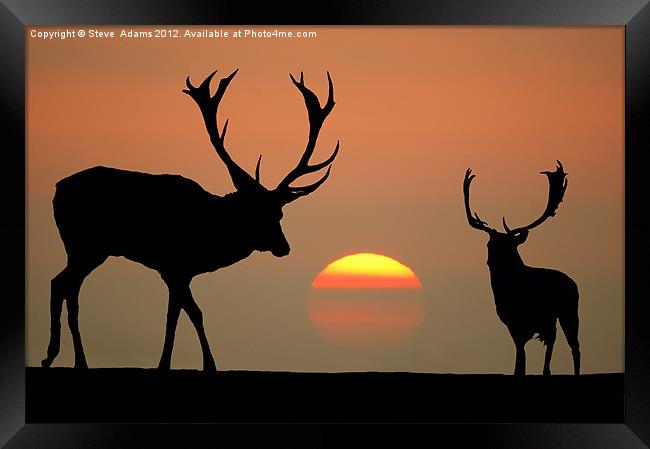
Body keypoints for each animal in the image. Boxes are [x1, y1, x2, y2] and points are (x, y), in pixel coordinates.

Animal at [41, 69, 340, 372]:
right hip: (86, 245)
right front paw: (204, 364)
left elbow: (176, 314)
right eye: (256, 213)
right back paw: (62, 358)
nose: (284, 246)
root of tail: (57, 189)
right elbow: (193, 312)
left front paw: (168, 363)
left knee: (63, 285)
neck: (208, 232)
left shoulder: (178, 271)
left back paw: (65, 358)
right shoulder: (174, 265)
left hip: (84, 249)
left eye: (279, 213)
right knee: (63, 285)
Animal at [464, 161, 580, 374]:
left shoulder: (543, 318)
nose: (494, 261)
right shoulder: (513, 324)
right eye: (490, 244)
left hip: (569, 311)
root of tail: (573, 282)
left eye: (511, 245)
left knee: (574, 346)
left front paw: (545, 371)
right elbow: (520, 362)